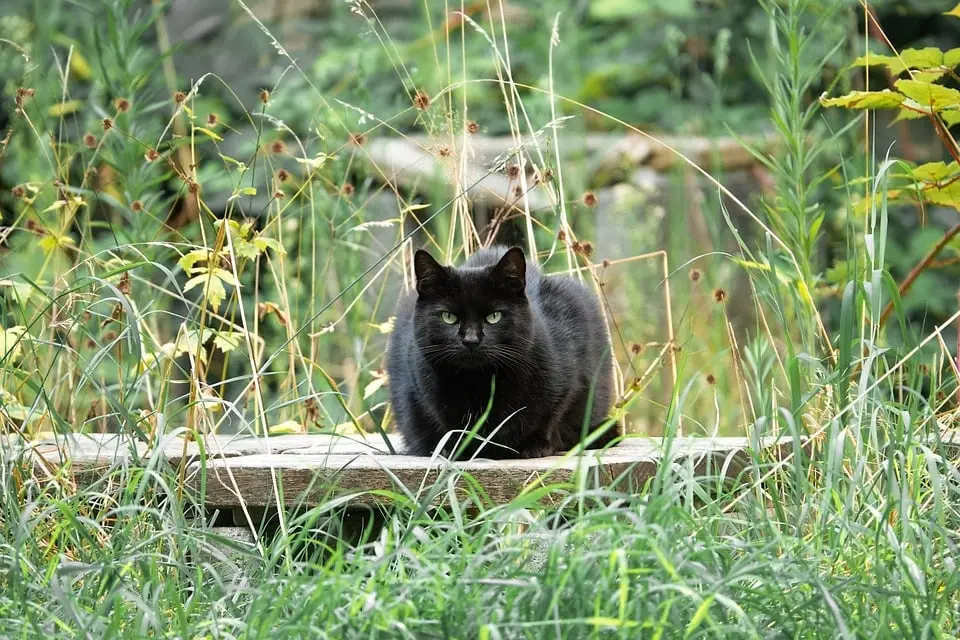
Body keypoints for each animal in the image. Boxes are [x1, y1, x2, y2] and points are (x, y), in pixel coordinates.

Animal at [384, 242, 624, 458]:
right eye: (448, 317)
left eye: (494, 316)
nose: (471, 340)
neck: (479, 383)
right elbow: (448, 425)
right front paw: (457, 448)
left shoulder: (572, 378)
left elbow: (553, 414)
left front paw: (536, 445)